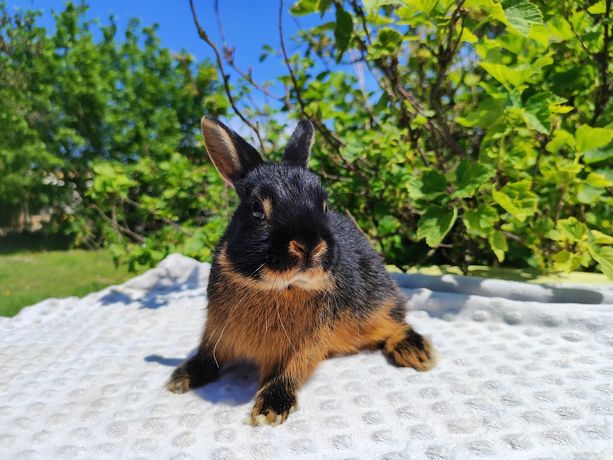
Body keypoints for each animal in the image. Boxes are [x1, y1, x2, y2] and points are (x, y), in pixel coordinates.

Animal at [166, 117, 436, 426]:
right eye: (256, 209)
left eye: (324, 205)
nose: (309, 244)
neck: (279, 287)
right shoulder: (216, 333)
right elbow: (206, 357)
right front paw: (180, 378)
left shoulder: (307, 344)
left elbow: (290, 371)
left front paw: (270, 409)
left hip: (374, 308)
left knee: (397, 322)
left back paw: (416, 352)